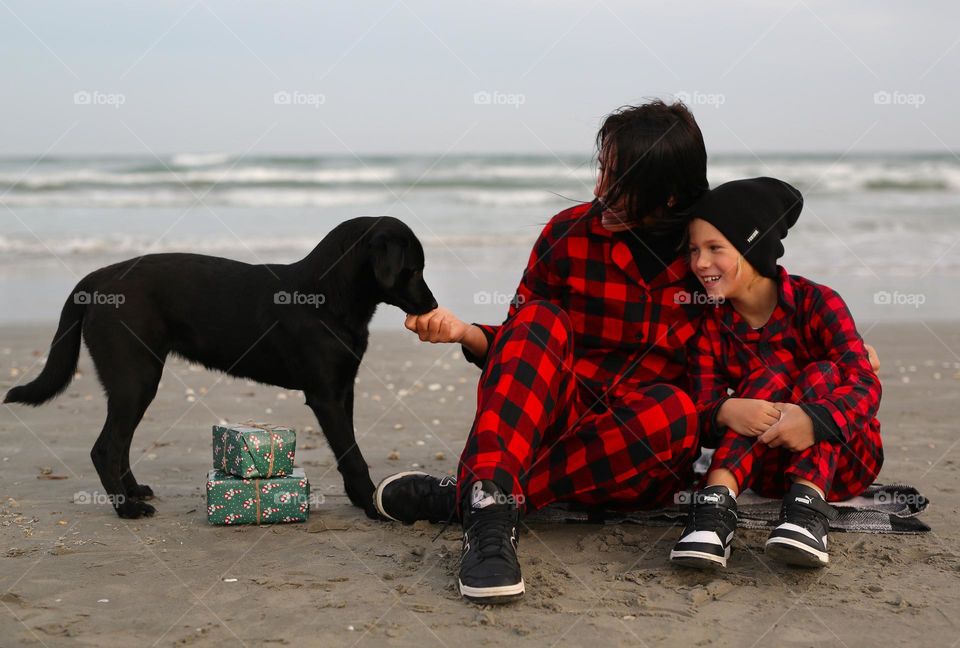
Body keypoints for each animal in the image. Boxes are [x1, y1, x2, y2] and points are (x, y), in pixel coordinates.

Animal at [3, 218, 436, 520]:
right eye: (413, 269)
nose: (432, 306)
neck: (326, 296)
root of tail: (95, 279)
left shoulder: (345, 390)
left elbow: (350, 451)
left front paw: (360, 499)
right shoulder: (325, 396)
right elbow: (352, 454)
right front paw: (371, 505)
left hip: (136, 381)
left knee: (118, 445)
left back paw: (135, 492)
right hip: (135, 378)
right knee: (106, 447)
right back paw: (127, 509)